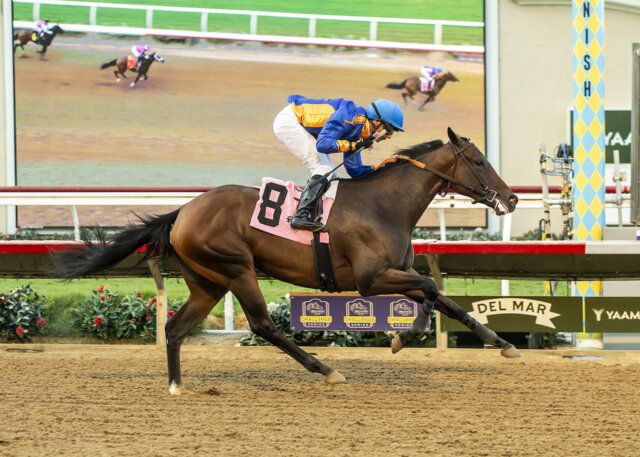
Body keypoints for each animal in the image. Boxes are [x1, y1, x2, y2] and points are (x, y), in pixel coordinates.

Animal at [50, 126, 520, 394]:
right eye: (479, 161)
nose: (512, 198)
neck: (385, 204)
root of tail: (182, 211)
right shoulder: (371, 278)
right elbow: (429, 290)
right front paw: (404, 338)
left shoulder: (398, 270)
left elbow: (445, 299)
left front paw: (503, 344)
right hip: (237, 268)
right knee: (262, 325)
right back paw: (325, 369)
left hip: (208, 282)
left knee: (175, 328)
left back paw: (175, 386)